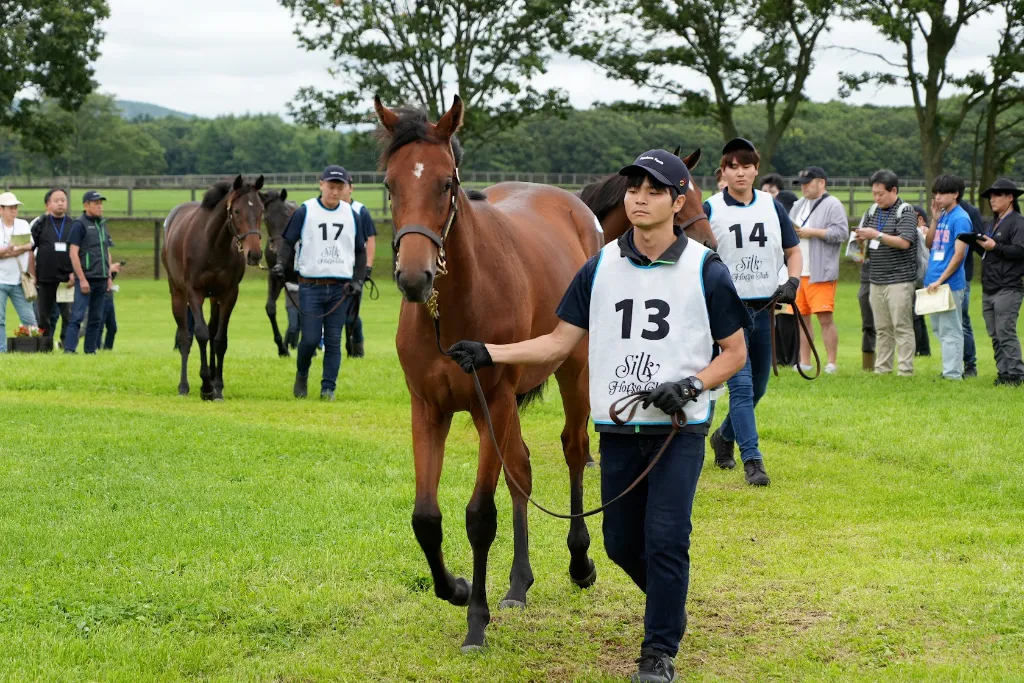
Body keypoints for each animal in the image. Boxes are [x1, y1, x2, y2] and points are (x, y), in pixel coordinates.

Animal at [162, 175, 265, 400]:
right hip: (178, 293)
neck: (213, 245)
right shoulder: (195, 292)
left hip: (214, 298)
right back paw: (184, 386)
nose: (254, 254)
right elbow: (200, 334)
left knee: (212, 330)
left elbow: (219, 339)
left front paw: (216, 386)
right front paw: (206, 386)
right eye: (237, 211)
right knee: (185, 337)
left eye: (261, 210)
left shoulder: (228, 294)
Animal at [376, 94, 601, 651]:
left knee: (574, 450)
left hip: (573, 371)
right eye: (390, 184)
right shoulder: (429, 410)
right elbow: (426, 518)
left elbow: (480, 516)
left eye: (446, 183)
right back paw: (518, 584)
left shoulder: (490, 403)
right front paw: (456, 588)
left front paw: (475, 620)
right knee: (520, 469)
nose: (414, 278)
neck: (454, 307)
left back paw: (580, 562)